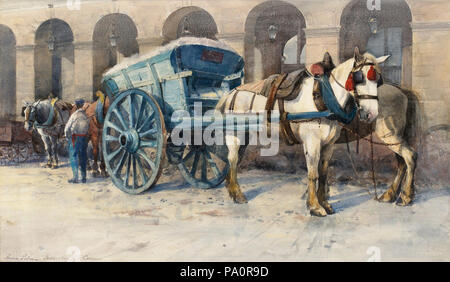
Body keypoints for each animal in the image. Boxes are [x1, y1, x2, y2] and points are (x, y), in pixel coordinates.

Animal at [216, 48, 388, 216]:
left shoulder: (329, 144)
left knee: (236, 159)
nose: (371, 114)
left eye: (378, 80)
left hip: (246, 133)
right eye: (359, 78)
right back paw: (237, 194)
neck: (324, 97)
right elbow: (313, 173)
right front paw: (314, 206)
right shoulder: (312, 142)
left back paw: (231, 188)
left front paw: (324, 203)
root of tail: (231, 93)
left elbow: (323, 173)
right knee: (232, 159)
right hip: (234, 133)